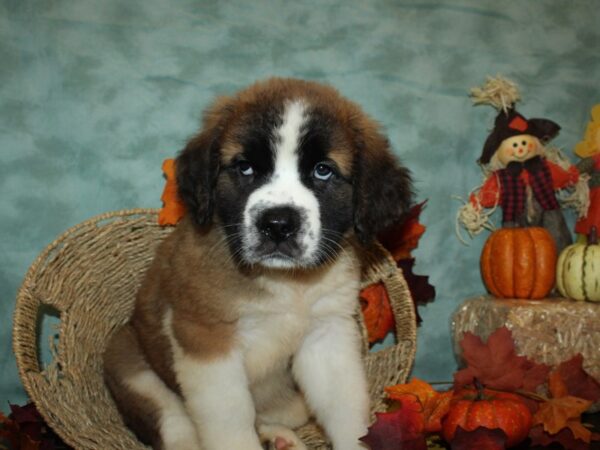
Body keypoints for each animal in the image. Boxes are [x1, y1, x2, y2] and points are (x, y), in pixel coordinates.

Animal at [103, 78, 412, 450]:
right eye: (245, 167)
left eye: (323, 171)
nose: (278, 224)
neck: (286, 282)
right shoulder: (206, 340)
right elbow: (231, 422)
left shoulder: (327, 334)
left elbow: (346, 410)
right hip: (129, 360)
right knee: (177, 426)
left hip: (289, 402)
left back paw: (280, 438)